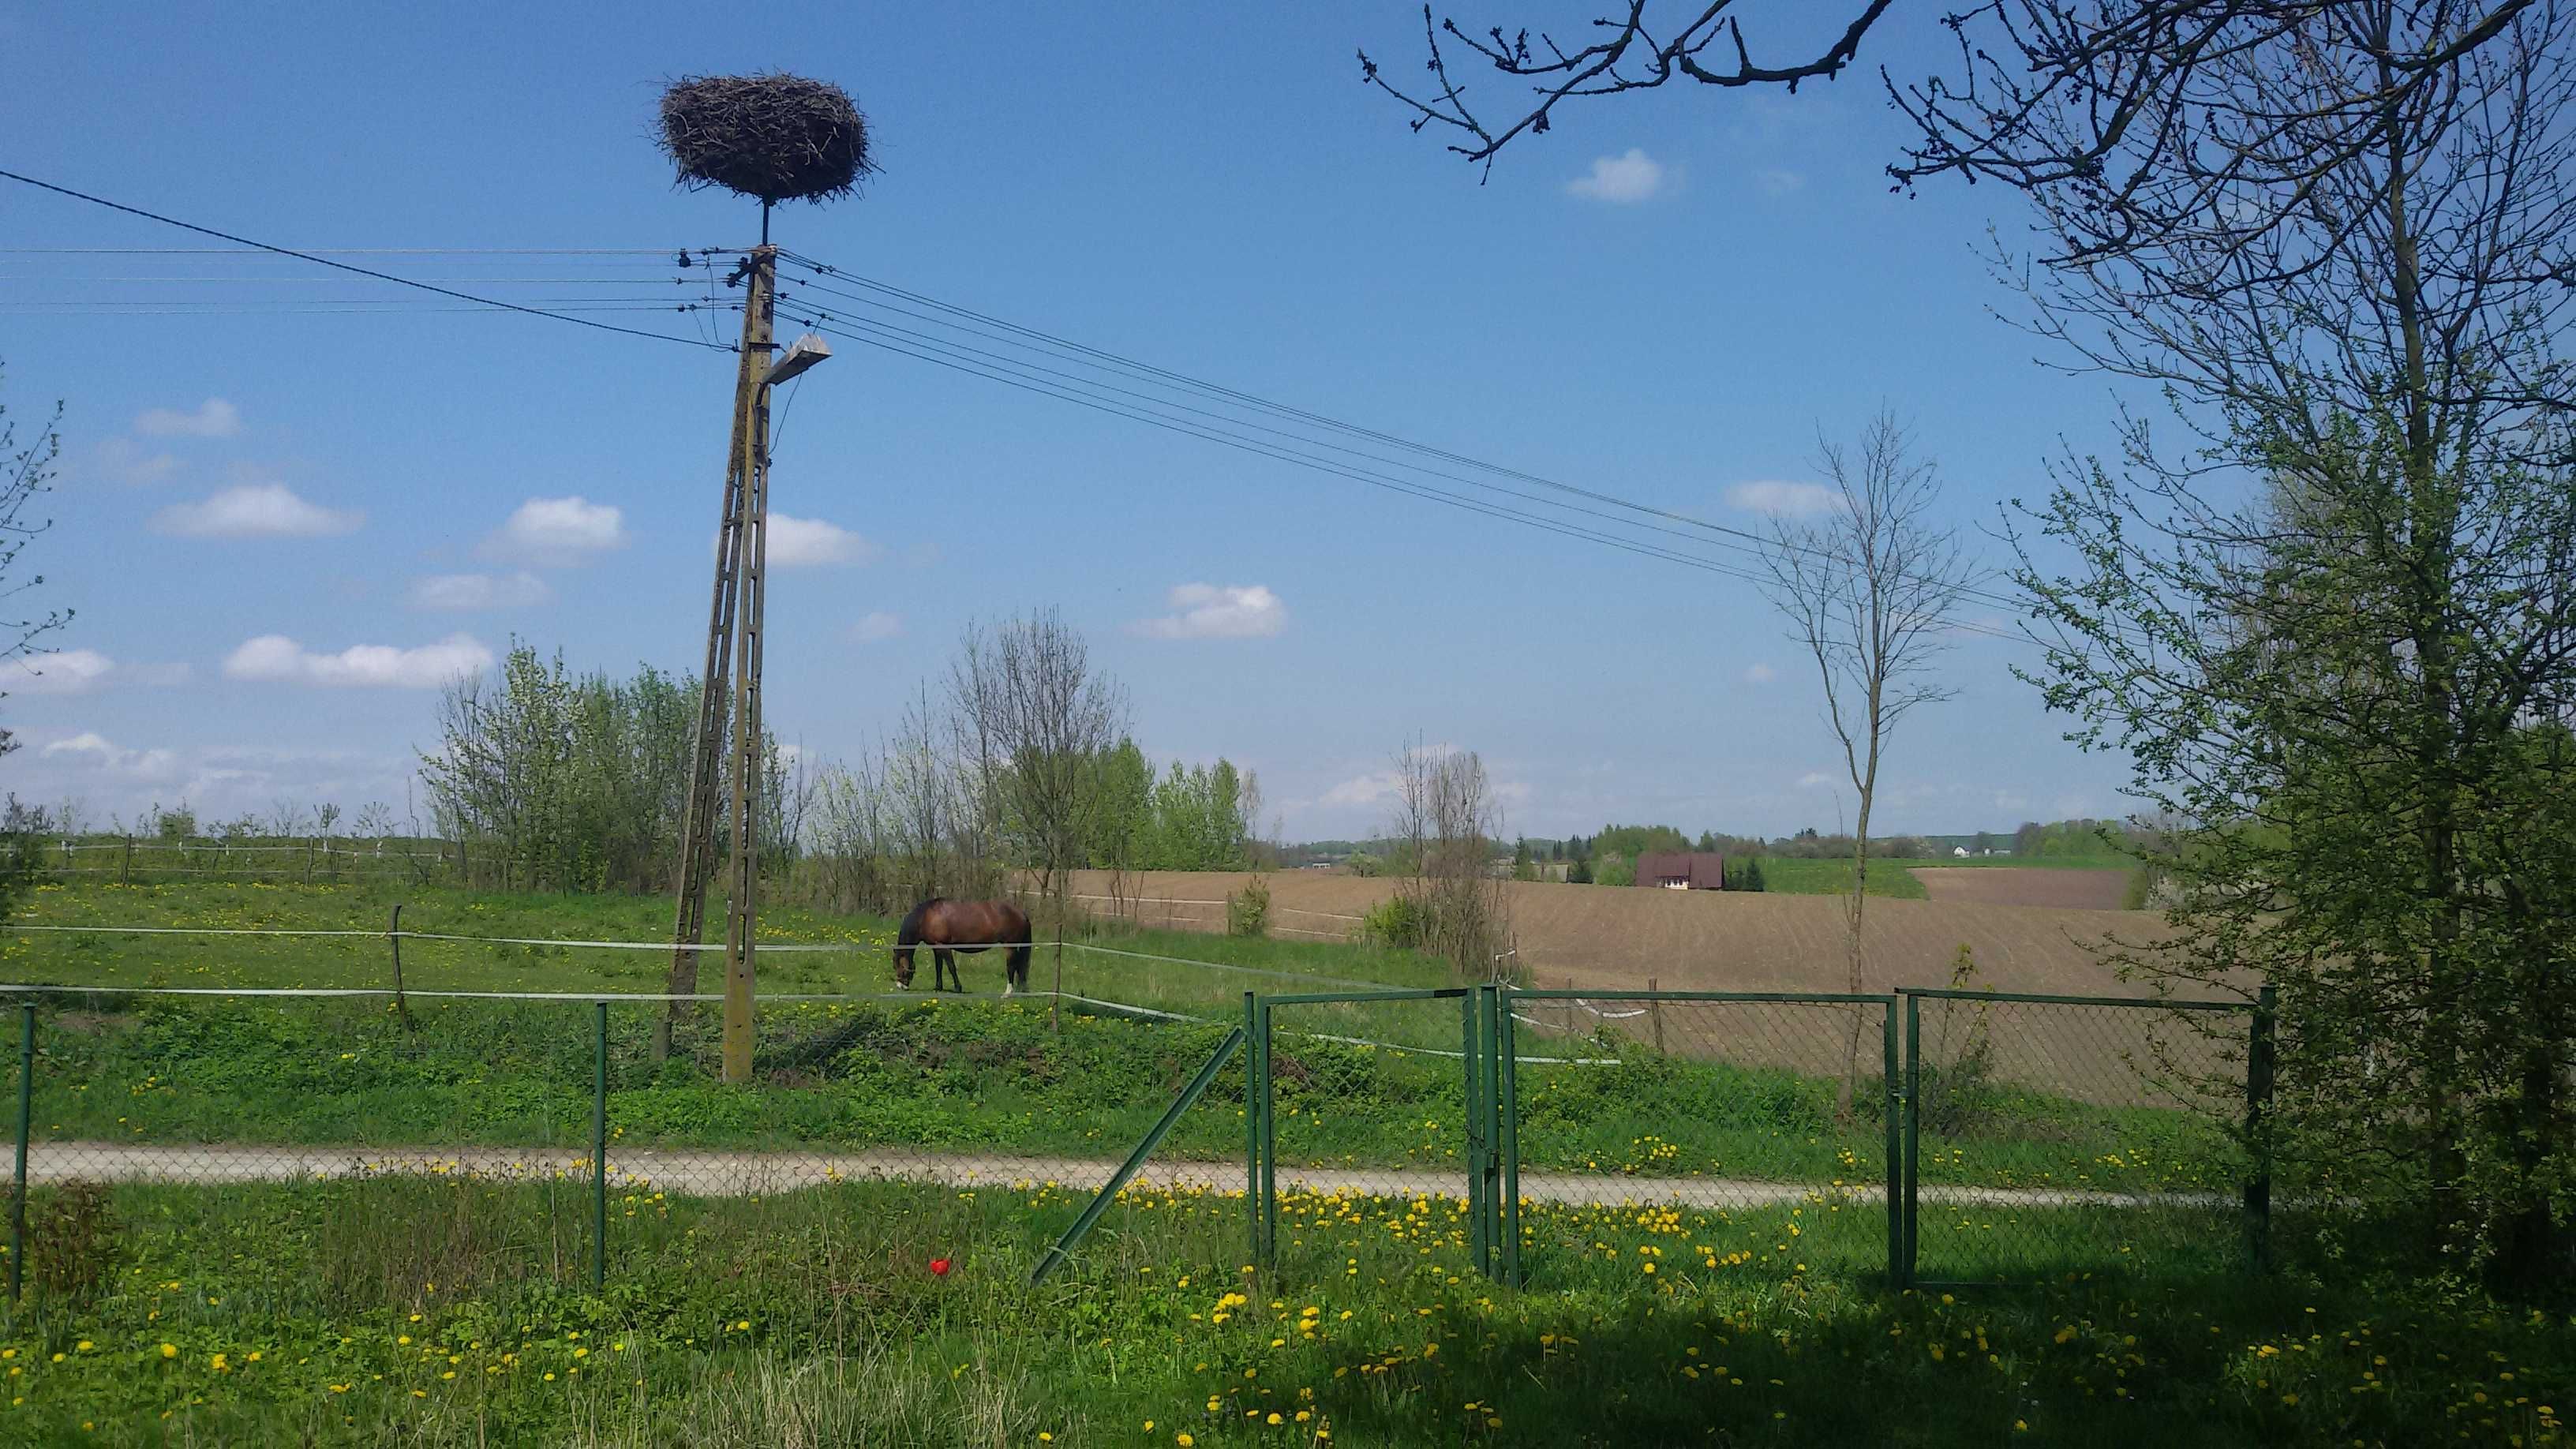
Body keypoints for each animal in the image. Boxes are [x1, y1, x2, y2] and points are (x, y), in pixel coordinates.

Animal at [891, 897, 1030, 984]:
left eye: (900, 966)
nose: (901, 986)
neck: (927, 917)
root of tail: (1021, 913)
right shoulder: (936, 947)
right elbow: (938, 967)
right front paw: (938, 987)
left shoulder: (944, 946)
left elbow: (951, 967)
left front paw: (958, 987)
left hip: (1010, 947)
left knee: (1012, 968)